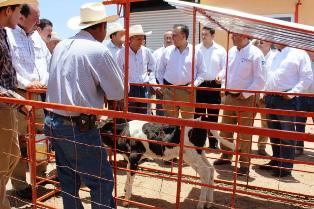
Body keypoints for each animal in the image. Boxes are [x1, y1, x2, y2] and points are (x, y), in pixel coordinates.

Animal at [99, 118, 234, 208]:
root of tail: (198, 120)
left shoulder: (134, 157)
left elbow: (130, 179)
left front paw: (126, 200)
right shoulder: (129, 159)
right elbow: (128, 177)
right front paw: (126, 192)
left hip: (192, 155)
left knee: (205, 173)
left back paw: (201, 204)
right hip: (198, 154)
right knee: (210, 169)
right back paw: (209, 203)